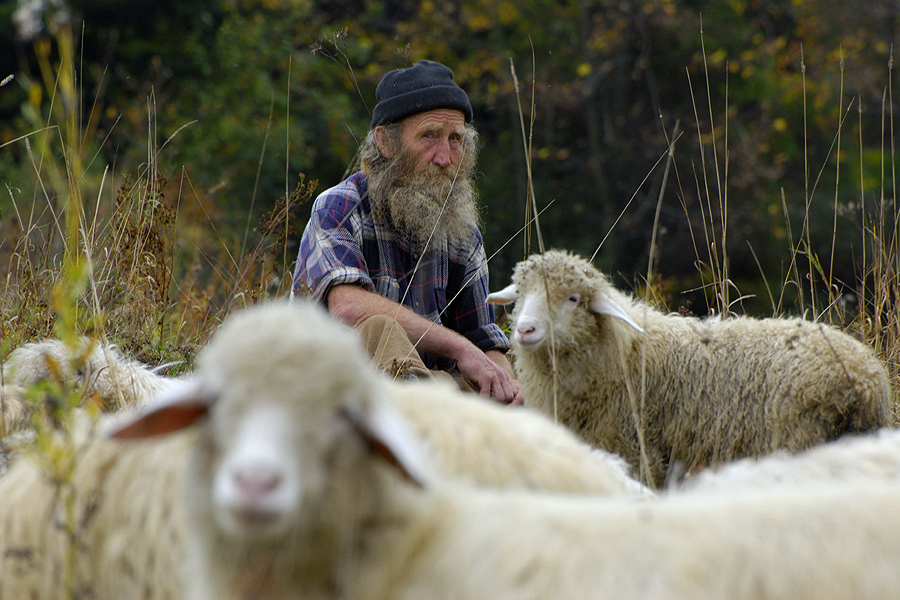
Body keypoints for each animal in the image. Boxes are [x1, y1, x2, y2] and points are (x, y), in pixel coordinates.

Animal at [488, 248, 896, 488]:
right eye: (520, 294)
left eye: (573, 299)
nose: (524, 330)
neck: (622, 352)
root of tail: (863, 378)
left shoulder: (635, 449)